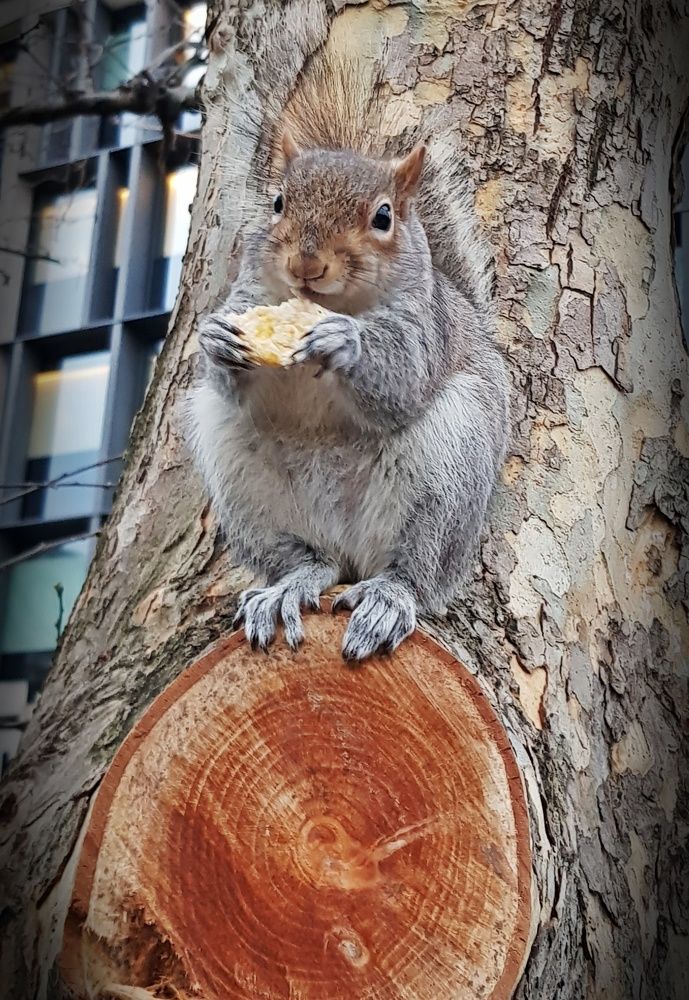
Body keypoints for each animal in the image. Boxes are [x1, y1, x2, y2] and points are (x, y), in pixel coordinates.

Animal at [185, 59, 510, 662]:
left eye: (383, 217)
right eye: (278, 203)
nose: (306, 263)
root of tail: (351, 547)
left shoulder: (423, 326)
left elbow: (401, 378)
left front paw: (344, 340)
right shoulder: (249, 294)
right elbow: (227, 373)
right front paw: (216, 339)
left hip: (449, 472)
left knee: (415, 568)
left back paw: (386, 599)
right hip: (245, 491)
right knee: (311, 561)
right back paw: (287, 588)